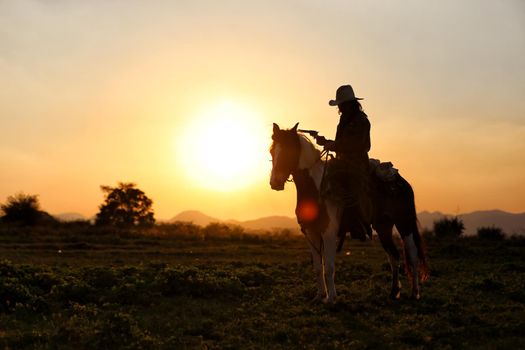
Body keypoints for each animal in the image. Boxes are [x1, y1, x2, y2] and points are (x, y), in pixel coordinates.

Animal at [268, 122, 428, 304]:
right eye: (272, 151)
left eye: (288, 151)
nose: (275, 183)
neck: (317, 189)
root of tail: (402, 182)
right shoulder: (311, 232)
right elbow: (318, 268)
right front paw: (320, 296)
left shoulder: (329, 232)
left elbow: (329, 268)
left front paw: (331, 298)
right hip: (383, 227)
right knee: (394, 256)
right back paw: (394, 292)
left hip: (404, 223)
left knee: (413, 256)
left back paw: (415, 293)